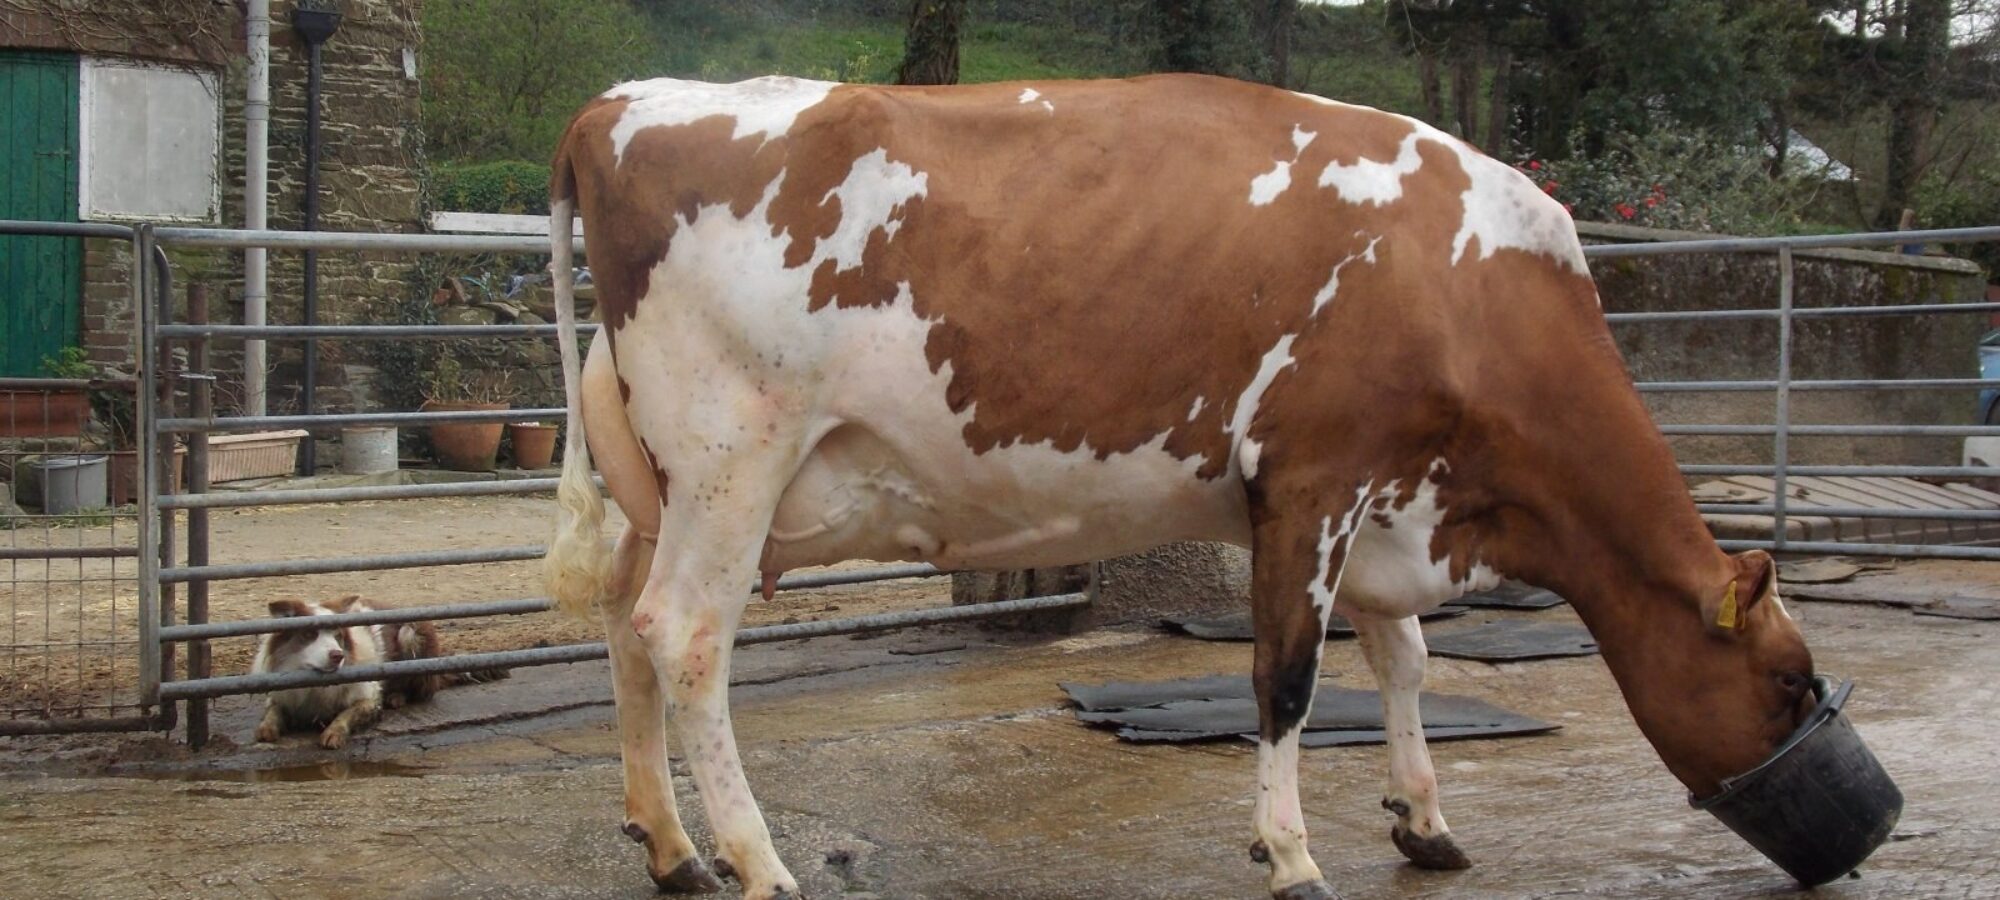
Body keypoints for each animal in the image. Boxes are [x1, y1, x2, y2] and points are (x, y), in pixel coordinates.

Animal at [540, 74, 1818, 899]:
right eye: (1790, 684)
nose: (1855, 840)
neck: (1463, 281)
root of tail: (618, 104)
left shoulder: (1378, 500)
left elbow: (1403, 659)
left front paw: (1422, 818)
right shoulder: (1313, 475)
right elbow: (1287, 680)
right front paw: (1291, 856)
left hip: (655, 478)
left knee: (621, 623)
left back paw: (671, 847)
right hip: (733, 455)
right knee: (684, 636)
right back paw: (757, 861)